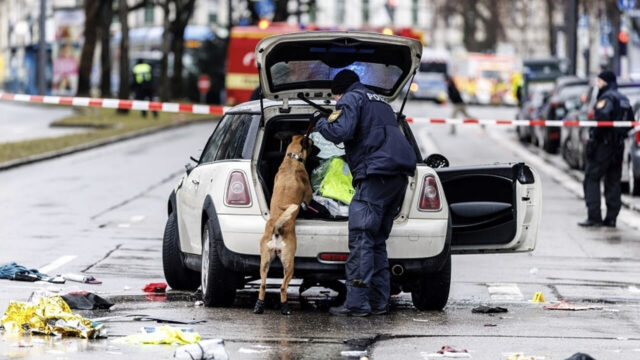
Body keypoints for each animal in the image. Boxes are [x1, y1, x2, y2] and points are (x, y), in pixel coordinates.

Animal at [255, 135, 316, 316]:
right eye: (312, 144)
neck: (292, 159)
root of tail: (277, 227)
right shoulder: (308, 194)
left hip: (264, 263)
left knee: (263, 285)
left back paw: (259, 306)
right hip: (289, 265)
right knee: (282, 287)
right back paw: (285, 308)